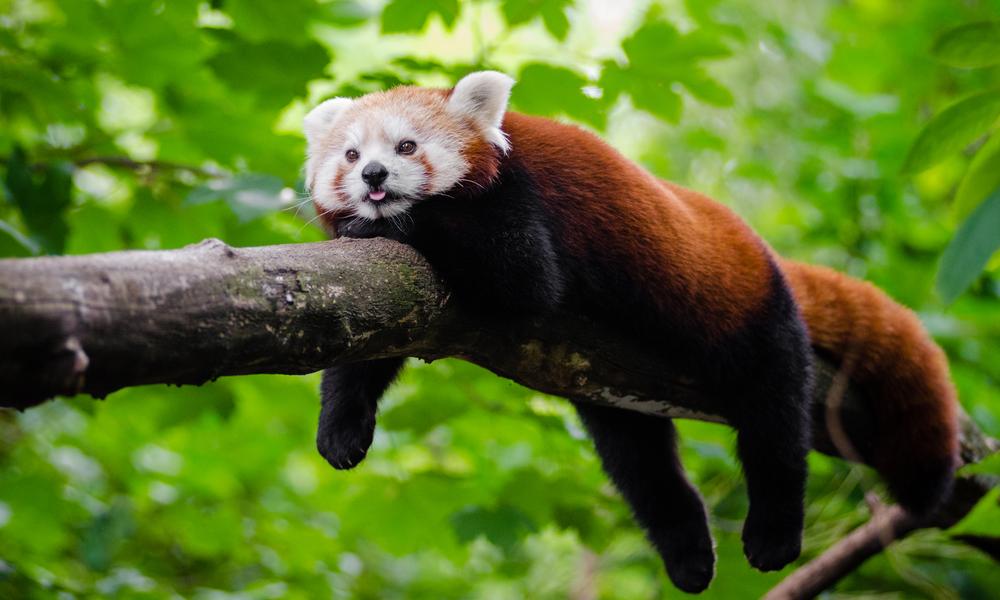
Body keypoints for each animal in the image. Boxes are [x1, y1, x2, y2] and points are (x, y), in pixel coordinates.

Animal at [300, 72, 956, 592]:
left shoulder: (520, 201)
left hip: (754, 318)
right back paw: (688, 553)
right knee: (639, 462)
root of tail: (765, 254)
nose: (375, 176)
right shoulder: (390, 298)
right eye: (351, 155)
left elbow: (522, 277)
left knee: (774, 420)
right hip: (611, 384)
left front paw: (391, 221)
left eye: (406, 146)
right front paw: (341, 431)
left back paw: (773, 532)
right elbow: (366, 349)